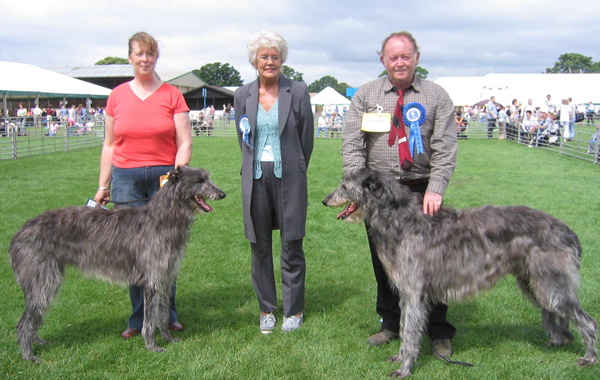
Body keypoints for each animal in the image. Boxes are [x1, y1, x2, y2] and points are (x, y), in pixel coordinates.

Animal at [9, 167, 225, 362]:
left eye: (207, 178)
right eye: (199, 181)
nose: (222, 194)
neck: (164, 217)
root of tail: (19, 233)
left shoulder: (165, 277)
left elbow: (162, 315)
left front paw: (169, 339)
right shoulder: (152, 280)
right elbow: (150, 319)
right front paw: (152, 346)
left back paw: (36, 342)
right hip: (43, 279)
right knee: (24, 322)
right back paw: (29, 356)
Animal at [326, 171, 596, 378]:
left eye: (344, 185)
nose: (324, 200)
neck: (400, 220)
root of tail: (569, 232)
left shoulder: (414, 293)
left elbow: (409, 332)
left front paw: (405, 369)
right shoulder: (406, 293)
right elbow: (403, 327)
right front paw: (400, 358)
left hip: (551, 284)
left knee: (588, 321)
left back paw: (589, 359)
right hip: (534, 283)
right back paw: (559, 342)